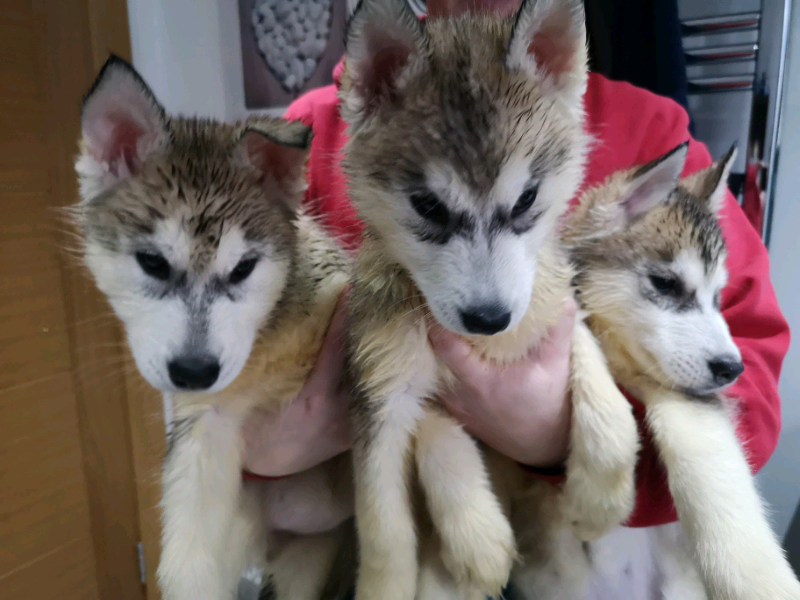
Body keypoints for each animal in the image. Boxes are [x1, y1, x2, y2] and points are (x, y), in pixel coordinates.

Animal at [73, 56, 354, 600]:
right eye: (152, 263)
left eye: (243, 268)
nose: (195, 371)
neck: (269, 340)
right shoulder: (203, 427)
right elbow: (186, 566)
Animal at [338, 1, 640, 598]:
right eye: (428, 206)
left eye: (526, 199)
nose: (489, 319)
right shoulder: (381, 397)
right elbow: (386, 530)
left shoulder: (556, 308)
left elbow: (611, 406)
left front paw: (600, 497)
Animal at [560, 142, 800, 600]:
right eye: (666, 284)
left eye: (718, 296)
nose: (732, 368)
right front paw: (597, 498)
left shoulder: (686, 397)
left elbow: (704, 457)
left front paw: (757, 579)